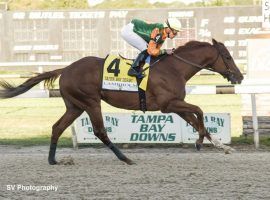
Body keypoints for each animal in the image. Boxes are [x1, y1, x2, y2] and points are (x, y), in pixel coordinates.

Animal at [0, 38, 244, 165]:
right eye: (228, 57)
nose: (240, 77)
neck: (175, 68)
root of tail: (66, 68)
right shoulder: (167, 105)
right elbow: (199, 111)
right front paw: (200, 141)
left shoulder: (176, 104)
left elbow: (195, 119)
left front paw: (220, 146)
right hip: (90, 102)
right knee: (100, 131)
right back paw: (125, 158)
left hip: (75, 106)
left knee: (57, 127)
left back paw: (53, 160)